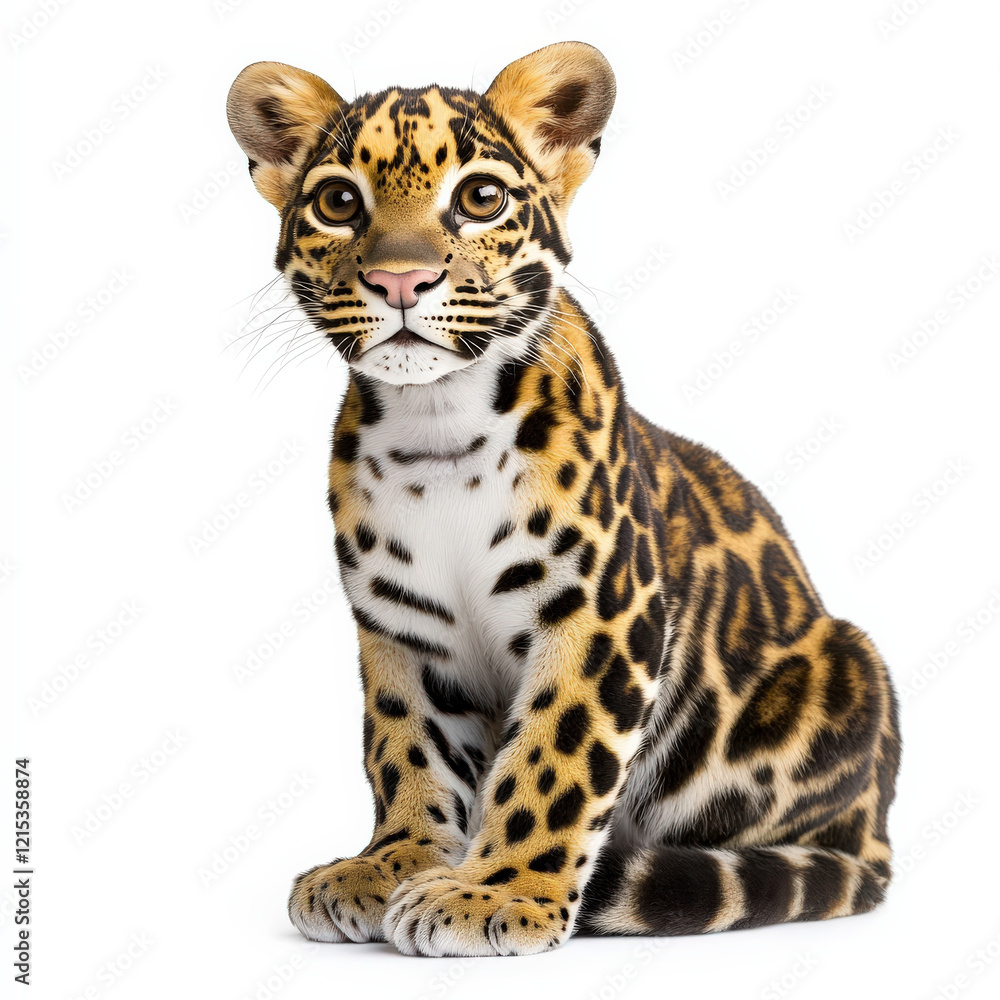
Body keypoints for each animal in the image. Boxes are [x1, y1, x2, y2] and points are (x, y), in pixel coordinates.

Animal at [226, 40, 900, 957]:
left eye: (480, 198)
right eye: (338, 202)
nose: (401, 280)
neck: (439, 429)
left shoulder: (599, 610)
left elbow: (554, 755)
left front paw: (493, 893)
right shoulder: (398, 626)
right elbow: (405, 746)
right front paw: (390, 863)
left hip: (851, 664)